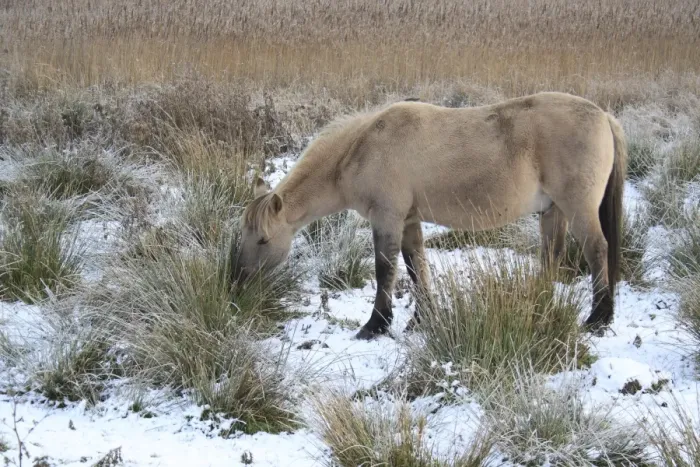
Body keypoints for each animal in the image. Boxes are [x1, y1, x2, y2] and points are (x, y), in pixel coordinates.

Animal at [237, 91, 627, 340]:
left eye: (263, 239)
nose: (237, 282)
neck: (361, 147)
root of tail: (604, 116)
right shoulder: (409, 220)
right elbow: (415, 267)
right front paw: (421, 321)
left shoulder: (388, 218)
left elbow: (385, 270)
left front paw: (375, 325)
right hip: (553, 212)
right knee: (552, 258)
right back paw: (539, 309)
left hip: (577, 208)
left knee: (596, 251)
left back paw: (598, 318)